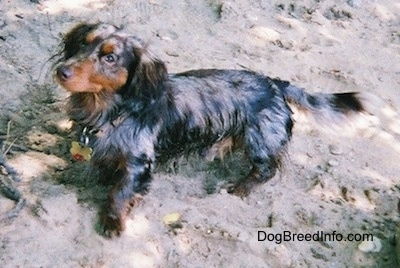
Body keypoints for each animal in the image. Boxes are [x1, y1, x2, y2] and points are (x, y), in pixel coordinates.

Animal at [54, 23, 366, 237]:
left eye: (110, 58)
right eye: (82, 44)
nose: (62, 71)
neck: (110, 112)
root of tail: (274, 83)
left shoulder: (139, 164)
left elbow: (119, 194)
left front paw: (113, 222)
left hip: (260, 140)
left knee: (266, 170)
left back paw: (239, 189)